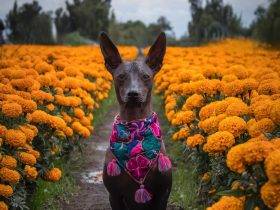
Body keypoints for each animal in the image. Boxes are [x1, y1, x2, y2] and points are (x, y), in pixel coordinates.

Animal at [99, 31, 172, 210]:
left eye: (146, 76)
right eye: (121, 76)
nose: (133, 93)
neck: (135, 126)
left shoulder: (163, 195)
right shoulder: (115, 197)